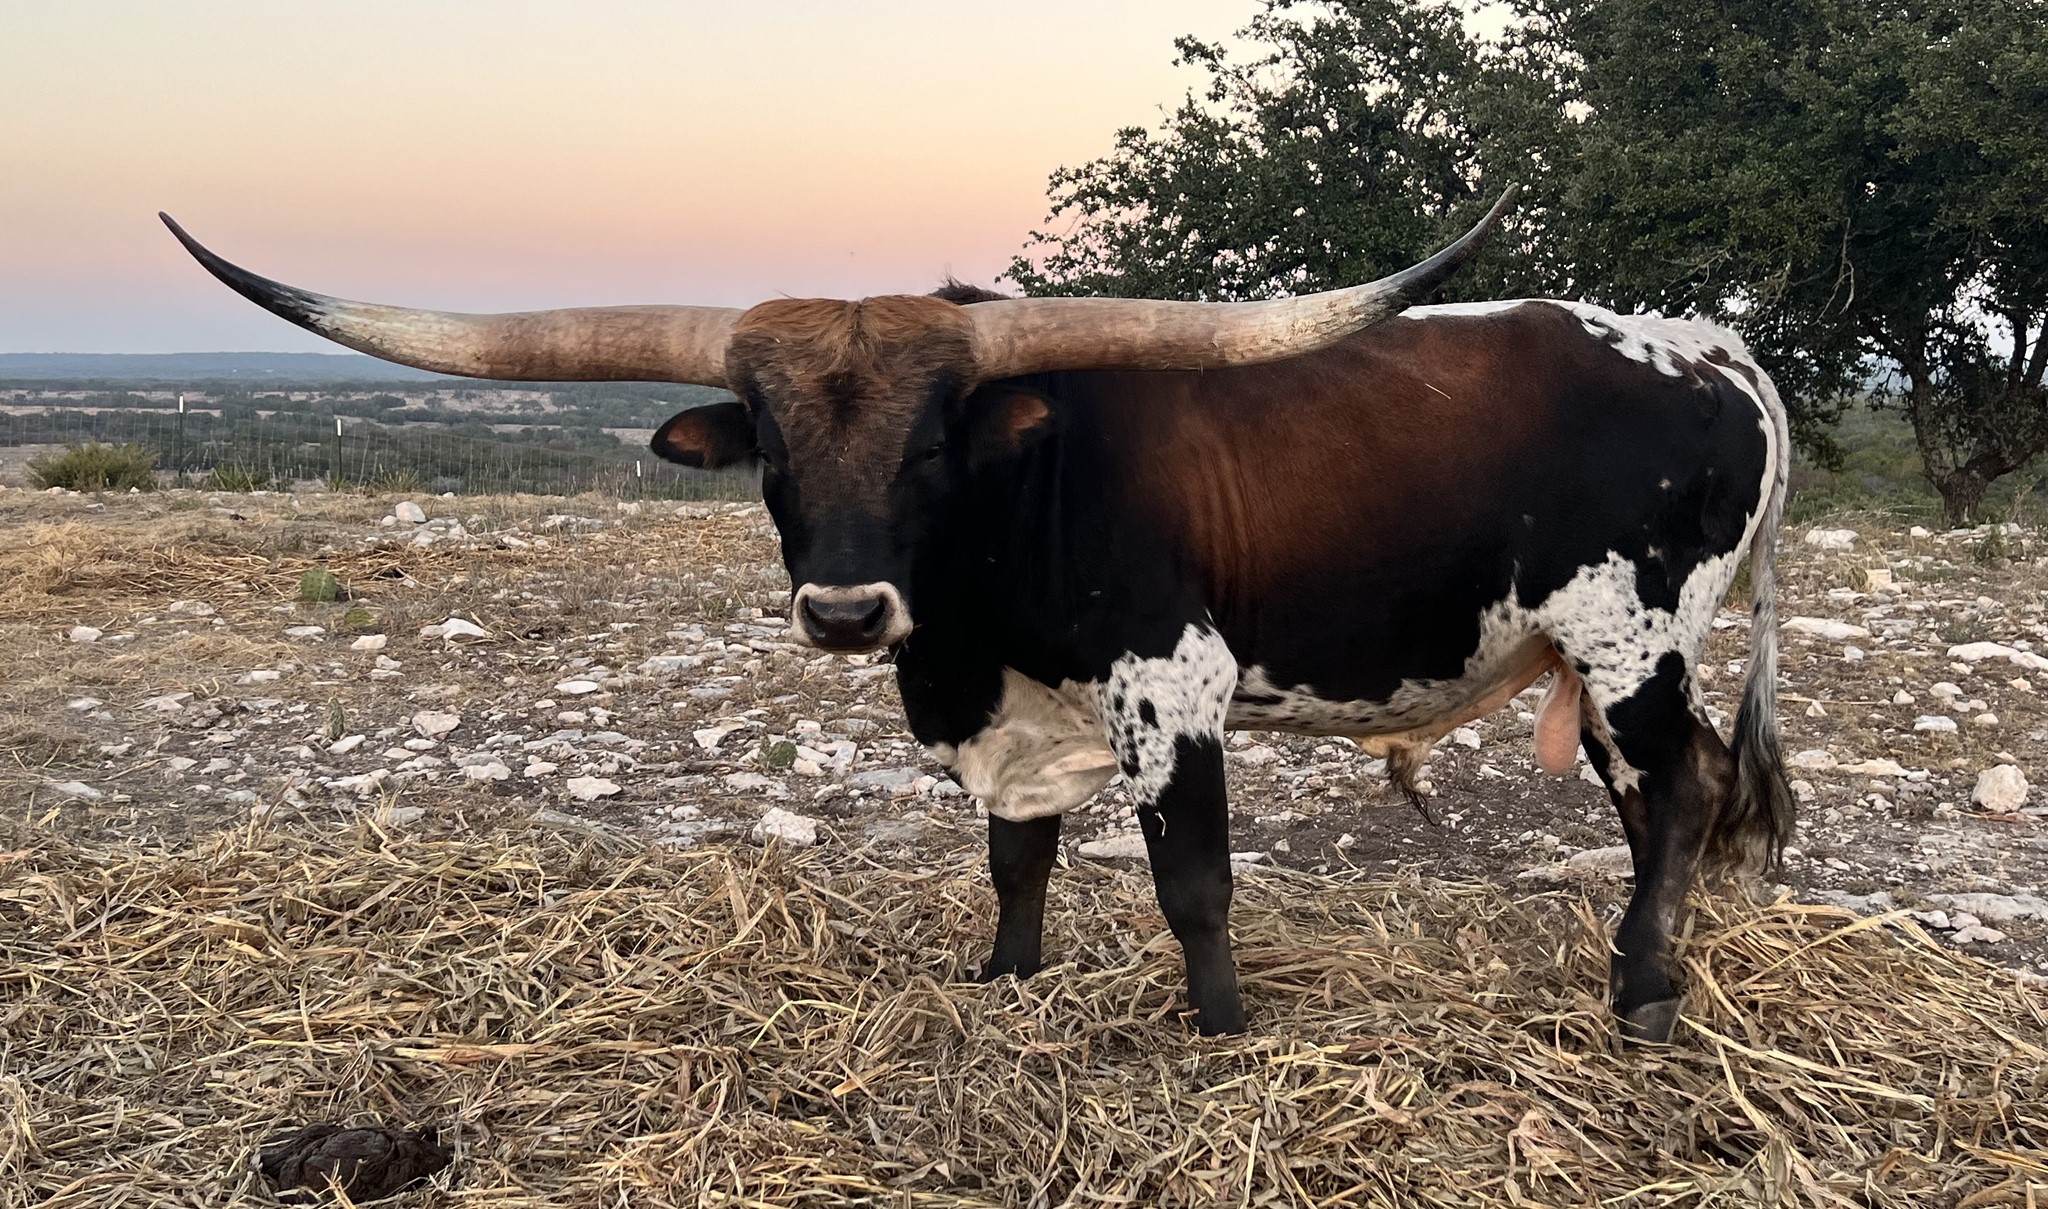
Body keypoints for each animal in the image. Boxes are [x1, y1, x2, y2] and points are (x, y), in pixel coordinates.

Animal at [161, 190, 1794, 1044]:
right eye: (767, 443)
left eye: (934, 443)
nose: (842, 607)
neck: (977, 604)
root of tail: (1710, 348)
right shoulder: (1001, 722)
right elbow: (1015, 865)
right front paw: (1008, 984)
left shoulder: (1172, 688)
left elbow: (1192, 880)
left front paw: (1218, 1028)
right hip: (1599, 659)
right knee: (1680, 795)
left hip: (1630, 640)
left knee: (1680, 791)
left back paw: (1644, 991)